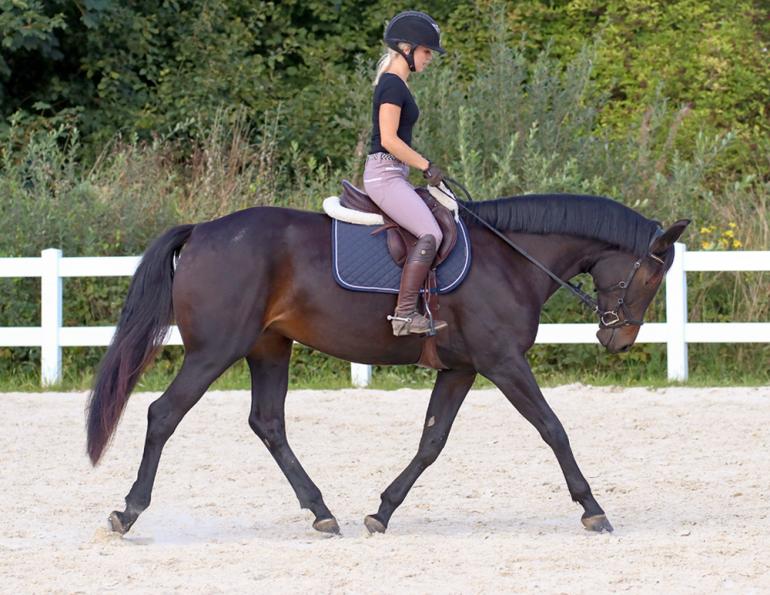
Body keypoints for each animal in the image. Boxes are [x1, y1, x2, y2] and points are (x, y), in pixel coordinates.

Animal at [86, 192, 689, 536]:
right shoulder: (502, 362)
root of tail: (203, 230)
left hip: (269, 348)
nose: (619, 340)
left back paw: (321, 511)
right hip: (216, 350)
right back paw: (128, 511)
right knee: (164, 415)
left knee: (268, 424)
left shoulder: (461, 368)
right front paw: (592, 508)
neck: (511, 257)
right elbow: (553, 428)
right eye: (651, 275)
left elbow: (432, 440)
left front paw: (384, 510)